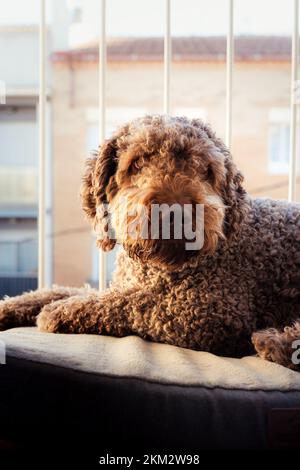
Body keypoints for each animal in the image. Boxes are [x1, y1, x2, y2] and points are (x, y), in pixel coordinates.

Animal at [0, 114, 300, 370]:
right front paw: (15, 305)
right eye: (137, 163)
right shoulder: (123, 285)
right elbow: (67, 290)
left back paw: (274, 341)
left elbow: (131, 303)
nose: (175, 210)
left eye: (206, 169)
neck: (156, 267)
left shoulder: (212, 312)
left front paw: (61, 311)